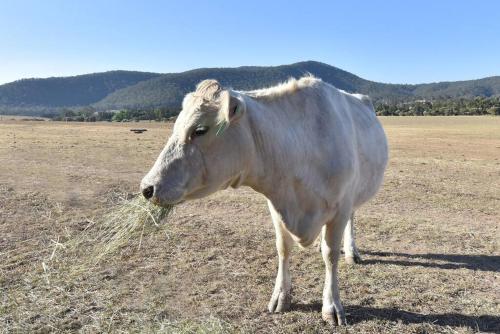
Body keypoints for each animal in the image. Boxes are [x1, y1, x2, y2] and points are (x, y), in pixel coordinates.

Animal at [142, 76, 390, 326]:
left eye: (200, 130)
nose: (147, 188)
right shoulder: (277, 206)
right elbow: (283, 249)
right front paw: (280, 296)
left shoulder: (340, 206)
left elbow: (330, 257)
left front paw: (331, 305)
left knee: (351, 219)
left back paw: (351, 251)